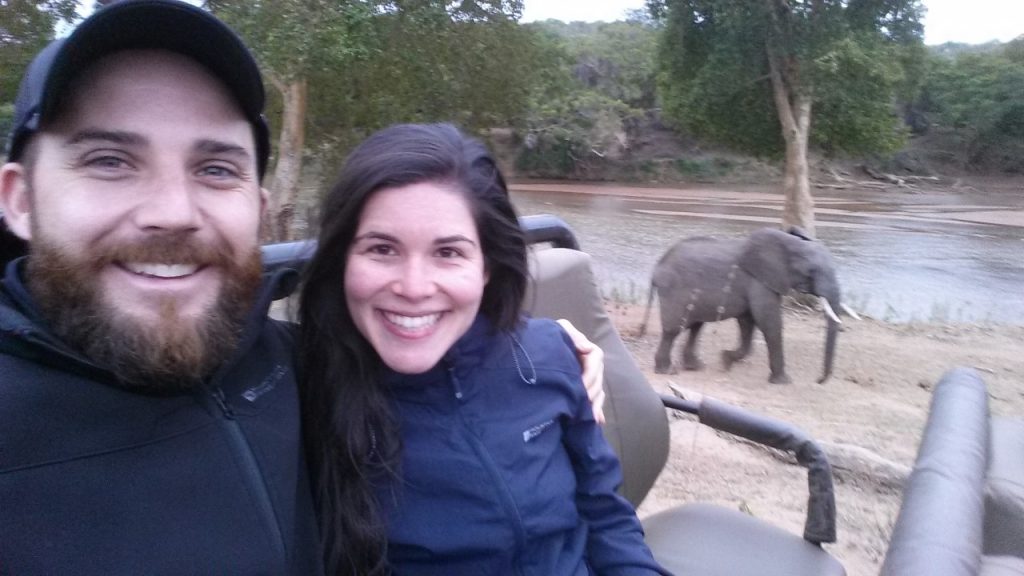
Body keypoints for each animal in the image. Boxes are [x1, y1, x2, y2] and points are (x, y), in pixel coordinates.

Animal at [638, 226, 856, 383]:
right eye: (811, 271)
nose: (819, 380)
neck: (788, 243)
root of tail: (657, 268)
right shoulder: (760, 281)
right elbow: (769, 322)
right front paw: (783, 381)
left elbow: (748, 322)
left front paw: (725, 360)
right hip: (674, 291)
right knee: (673, 330)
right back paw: (667, 371)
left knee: (695, 327)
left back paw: (695, 367)